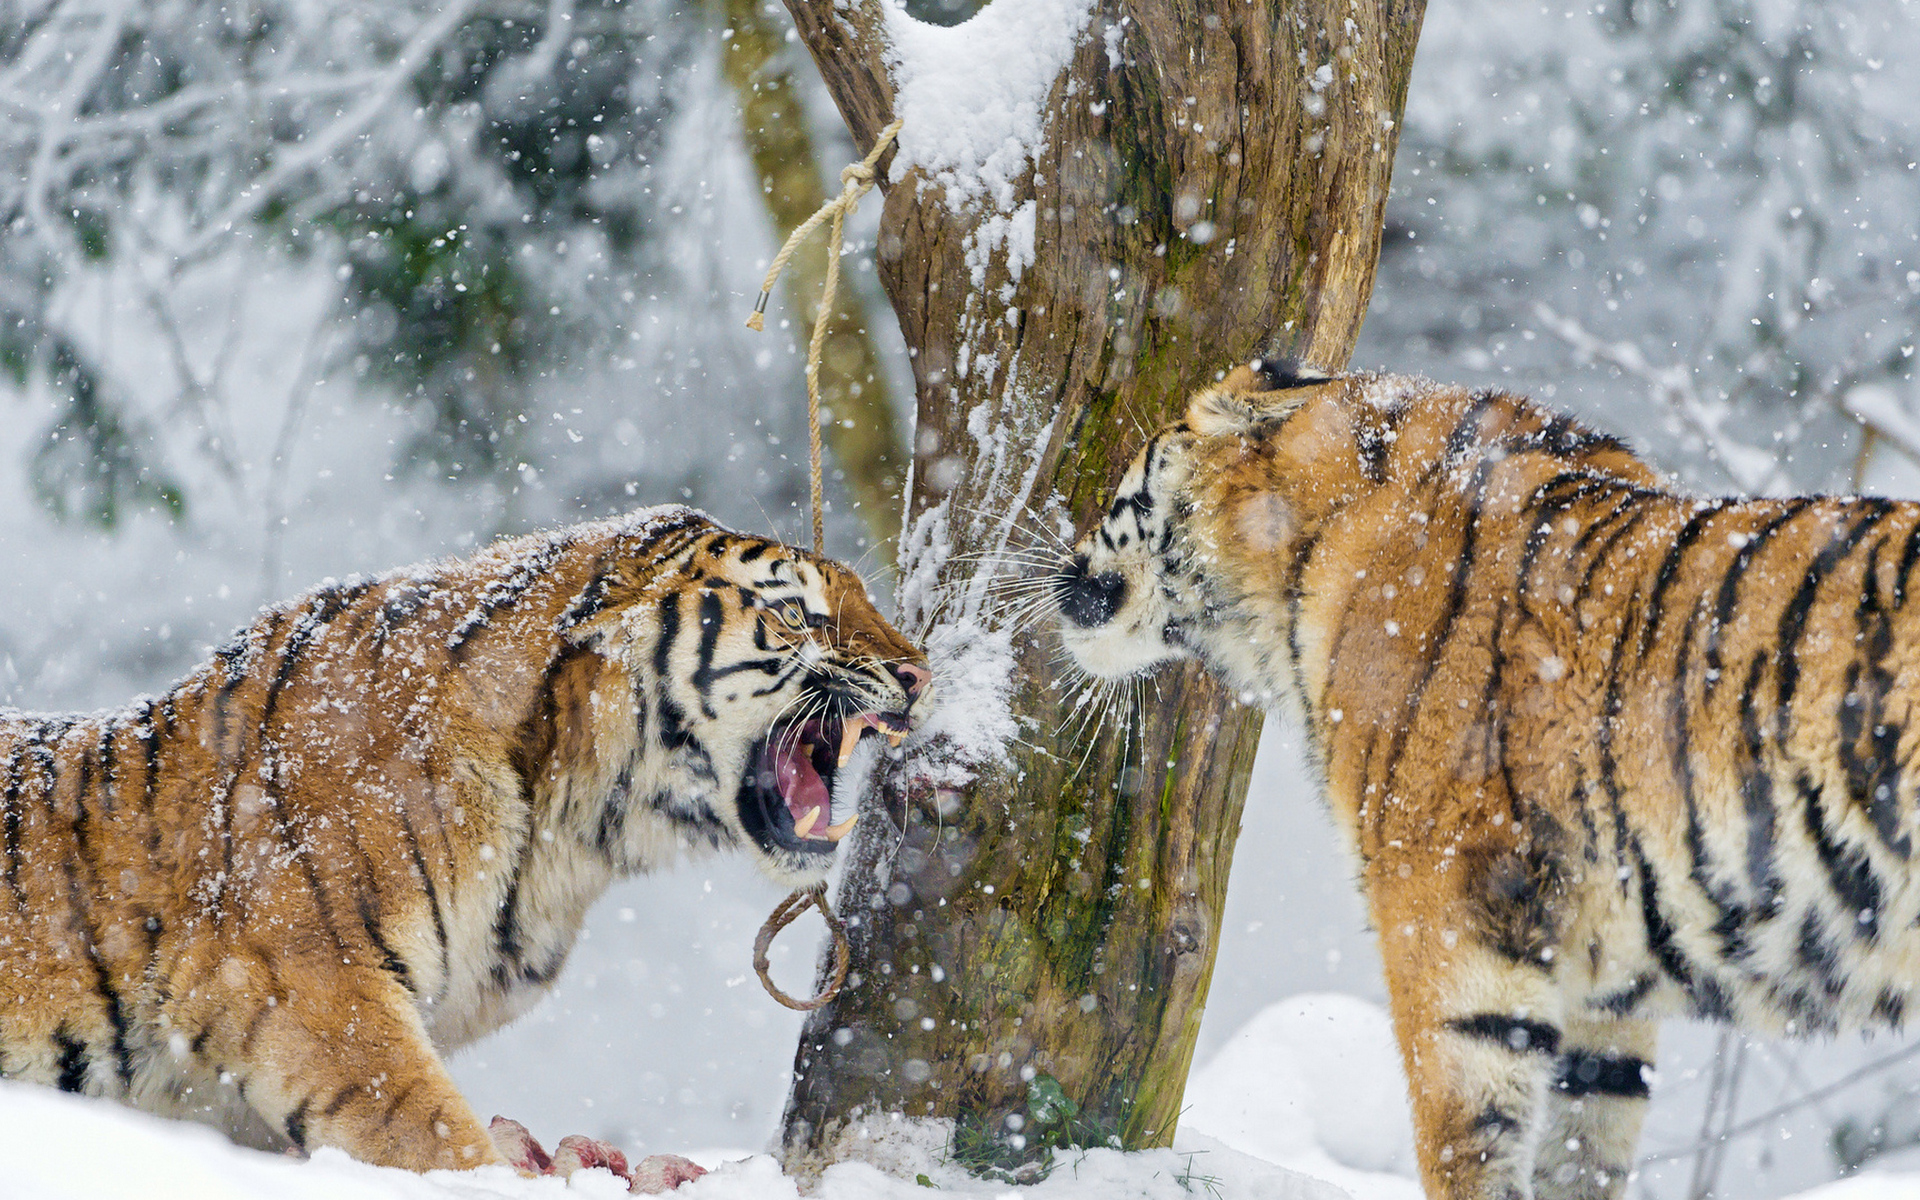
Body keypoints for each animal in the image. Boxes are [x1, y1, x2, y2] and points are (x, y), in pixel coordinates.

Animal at [1059, 364, 1920, 1198]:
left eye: (1124, 485)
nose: (1065, 561)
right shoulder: (1604, 987)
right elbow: (1584, 1150)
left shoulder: (1445, 919)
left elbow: (1466, 1145)